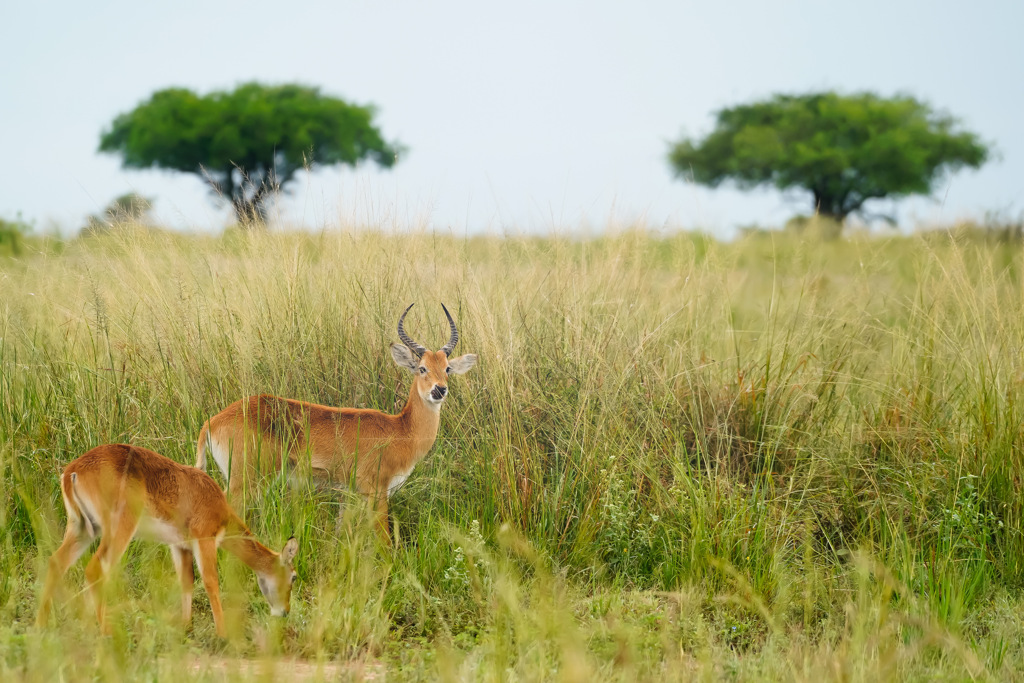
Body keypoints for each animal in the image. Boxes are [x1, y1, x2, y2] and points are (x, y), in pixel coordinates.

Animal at [36, 446, 299, 638]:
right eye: (294, 576)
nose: (285, 612)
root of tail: (73, 471)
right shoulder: (205, 540)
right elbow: (211, 582)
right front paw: (223, 635)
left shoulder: (179, 545)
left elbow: (187, 581)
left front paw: (186, 627)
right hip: (119, 530)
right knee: (94, 569)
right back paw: (106, 630)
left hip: (82, 529)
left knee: (56, 562)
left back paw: (43, 624)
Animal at [197, 305, 477, 544]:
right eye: (421, 368)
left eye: (447, 368)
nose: (439, 390)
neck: (401, 431)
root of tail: (212, 422)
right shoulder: (377, 493)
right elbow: (385, 542)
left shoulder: (348, 495)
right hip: (245, 483)